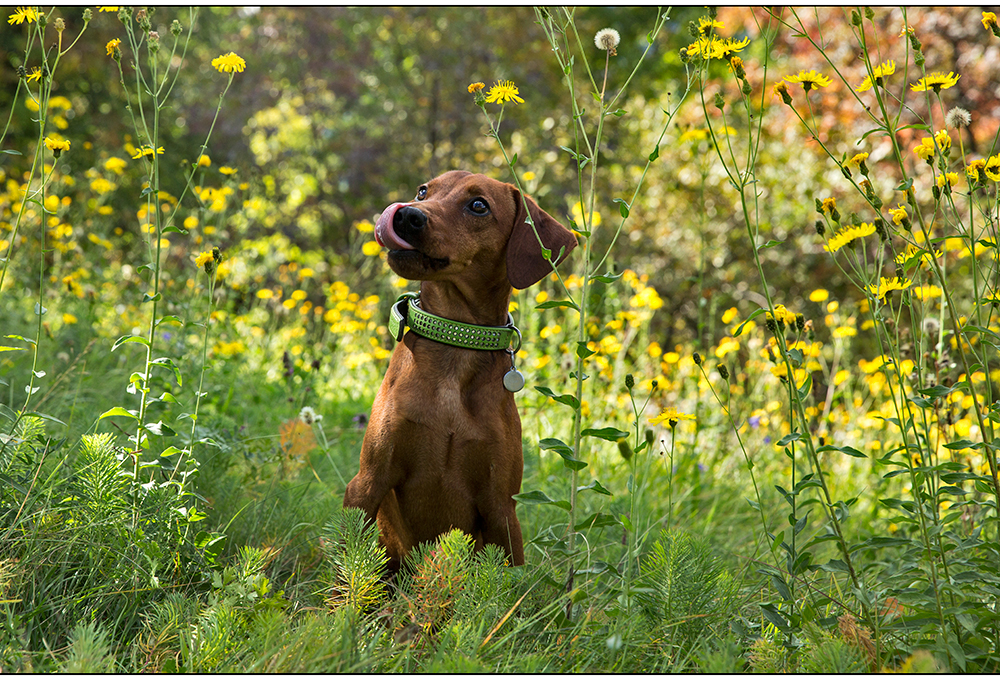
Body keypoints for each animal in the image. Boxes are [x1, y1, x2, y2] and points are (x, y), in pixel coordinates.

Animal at [346, 171, 576, 572]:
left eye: (478, 205)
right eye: (424, 191)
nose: (407, 215)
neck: (456, 342)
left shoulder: (501, 506)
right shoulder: (367, 482)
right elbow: (345, 564)